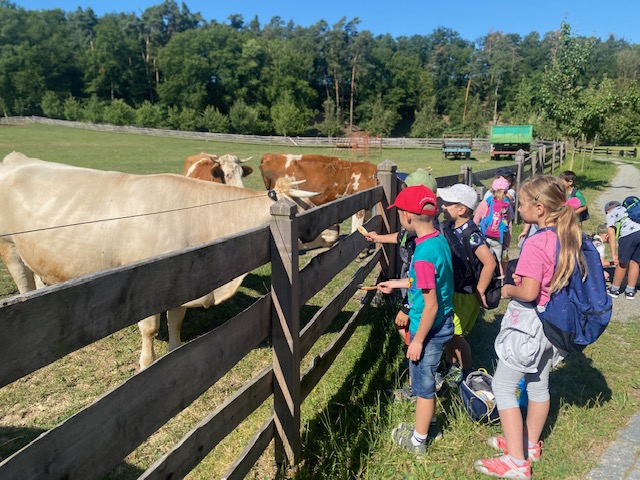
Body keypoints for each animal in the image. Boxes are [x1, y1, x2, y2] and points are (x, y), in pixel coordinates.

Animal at [0, 152, 315, 370]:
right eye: (304, 207)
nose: (329, 225)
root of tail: (16, 157)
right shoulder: (145, 288)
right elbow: (150, 329)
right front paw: (146, 364)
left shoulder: (183, 283)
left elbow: (176, 321)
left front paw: (174, 352)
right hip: (9, 247)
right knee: (25, 285)